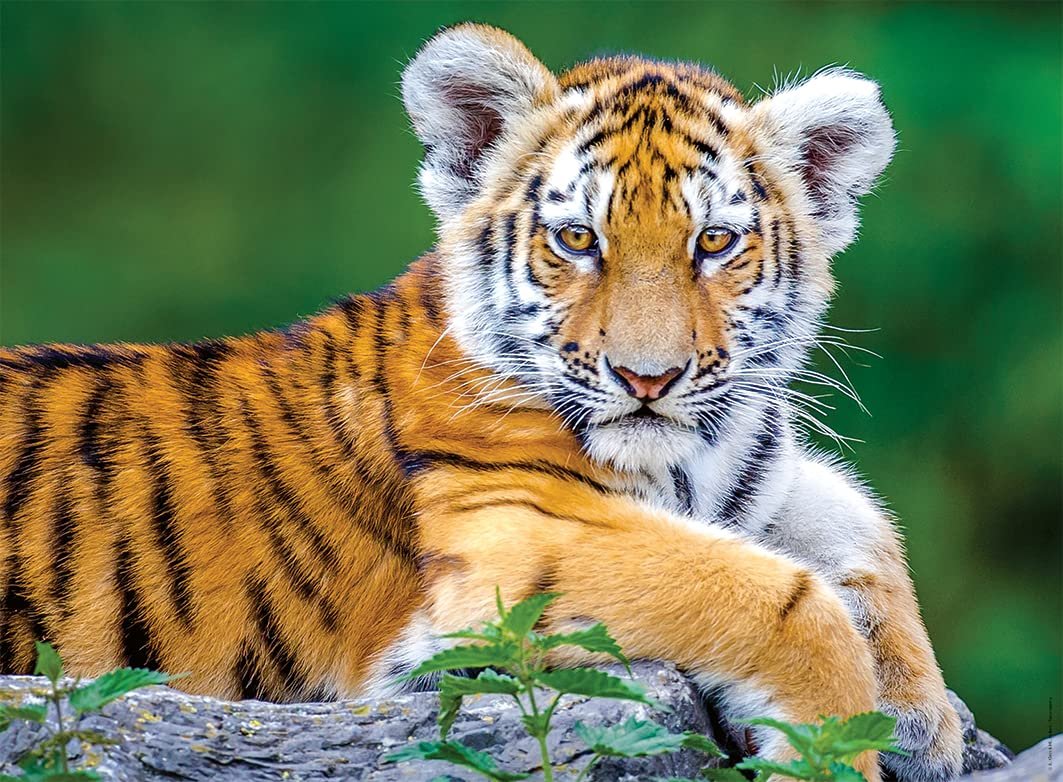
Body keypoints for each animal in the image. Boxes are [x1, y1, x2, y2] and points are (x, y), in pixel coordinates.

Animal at [0, 23, 964, 782]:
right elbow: (783, 598)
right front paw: (834, 748)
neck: (696, 457)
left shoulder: (757, 479)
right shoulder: (512, 539)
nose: (646, 379)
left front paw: (921, 718)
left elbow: (860, 523)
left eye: (714, 243)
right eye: (576, 239)